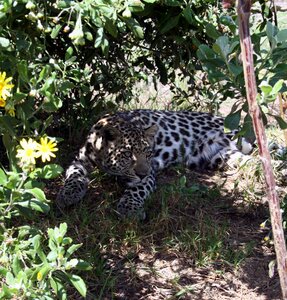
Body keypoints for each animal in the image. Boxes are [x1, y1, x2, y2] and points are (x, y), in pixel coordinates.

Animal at [56, 109, 254, 219]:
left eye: (148, 153)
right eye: (127, 154)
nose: (141, 173)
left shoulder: (149, 172)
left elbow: (137, 189)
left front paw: (130, 209)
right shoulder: (79, 160)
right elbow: (74, 175)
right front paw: (68, 194)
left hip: (239, 138)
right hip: (221, 157)